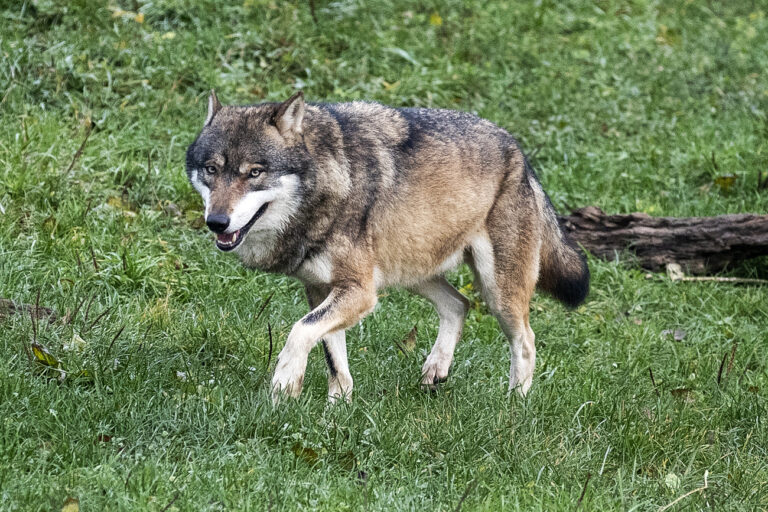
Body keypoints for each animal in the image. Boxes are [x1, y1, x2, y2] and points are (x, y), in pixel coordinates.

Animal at [186, 92, 588, 404]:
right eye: (211, 170)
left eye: (254, 172)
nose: (217, 222)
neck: (331, 183)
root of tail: (519, 152)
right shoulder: (321, 289)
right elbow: (333, 357)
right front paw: (338, 409)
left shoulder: (360, 292)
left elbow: (299, 331)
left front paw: (285, 383)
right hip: (413, 272)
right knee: (459, 304)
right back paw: (435, 370)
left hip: (497, 292)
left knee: (525, 340)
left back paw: (514, 404)